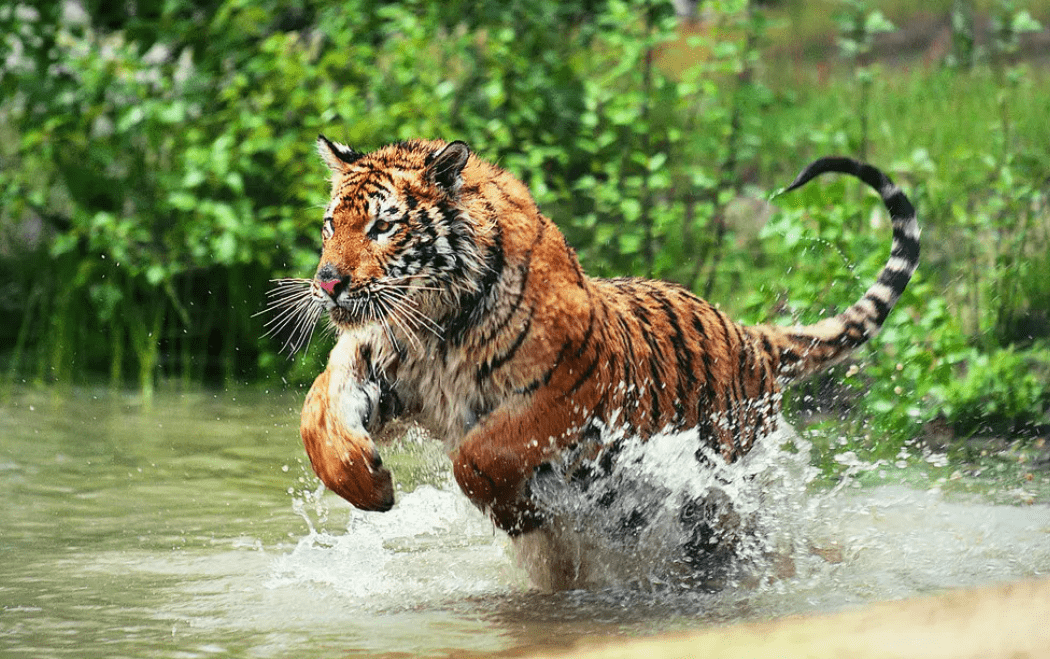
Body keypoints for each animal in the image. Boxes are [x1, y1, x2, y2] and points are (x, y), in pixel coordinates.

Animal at [273, 136, 919, 585]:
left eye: (383, 226)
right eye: (331, 224)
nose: (327, 283)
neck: (436, 324)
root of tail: (749, 334)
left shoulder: (568, 392)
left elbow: (480, 454)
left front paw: (518, 514)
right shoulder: (374, 363)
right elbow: (315, 417)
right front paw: (370, 486)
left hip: (721, 506)